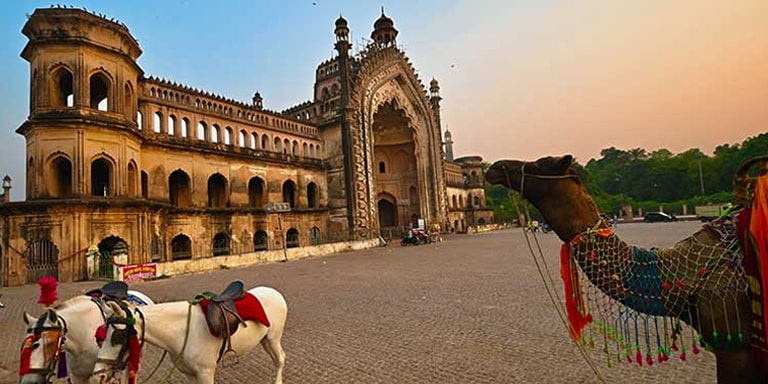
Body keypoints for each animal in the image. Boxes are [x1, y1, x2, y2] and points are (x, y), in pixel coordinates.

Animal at [92, 286, 288, 384]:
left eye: (117, 337)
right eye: (102, 337)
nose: (98, 375)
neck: (182, 331)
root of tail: (275, 292)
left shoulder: (205, 372)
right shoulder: (189, 373)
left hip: (273, 338)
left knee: (280, 359)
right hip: (264, 340)